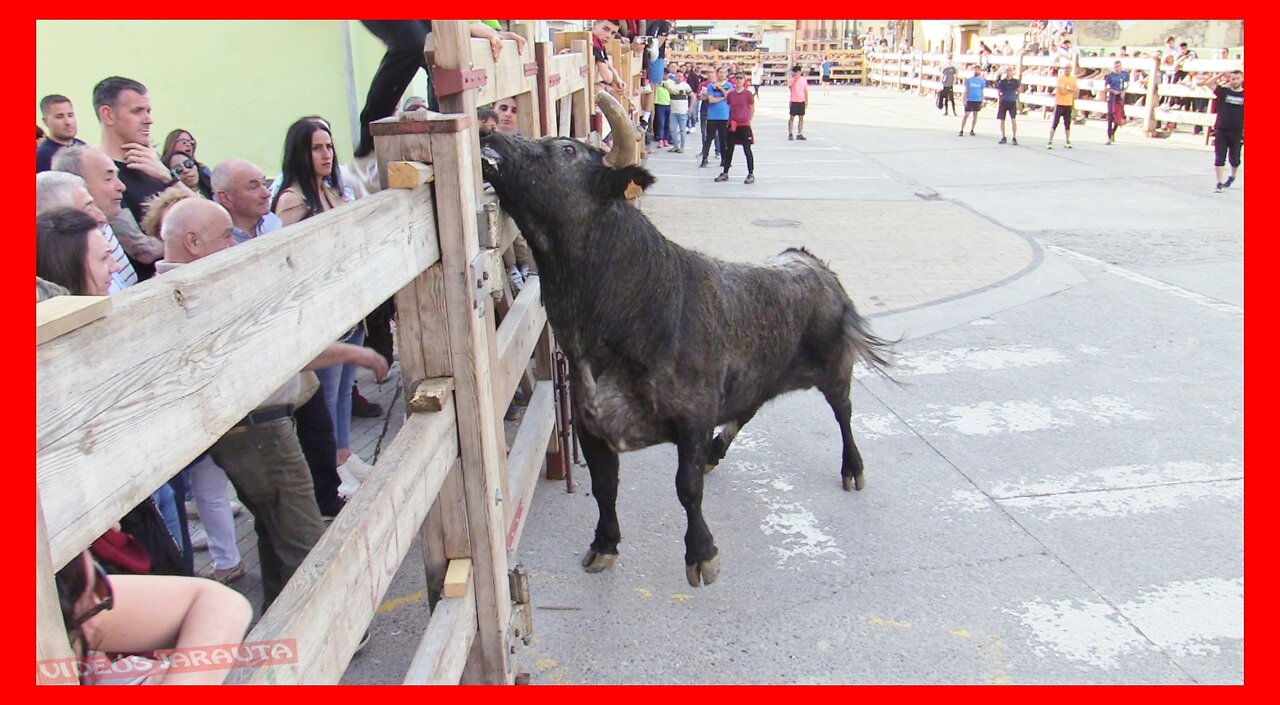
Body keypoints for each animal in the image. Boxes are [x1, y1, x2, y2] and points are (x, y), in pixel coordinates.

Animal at [478, 96, 890, 588]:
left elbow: (687, 488)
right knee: (748, 409)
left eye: (567, 149)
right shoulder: (590, 426)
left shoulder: (692, 419)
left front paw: (702, 553)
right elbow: (604, 488)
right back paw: (717, 452)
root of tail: (812, 264)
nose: (491, 135)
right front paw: (604, 545)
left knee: (844, 414)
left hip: (836, 369)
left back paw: (853, 469)